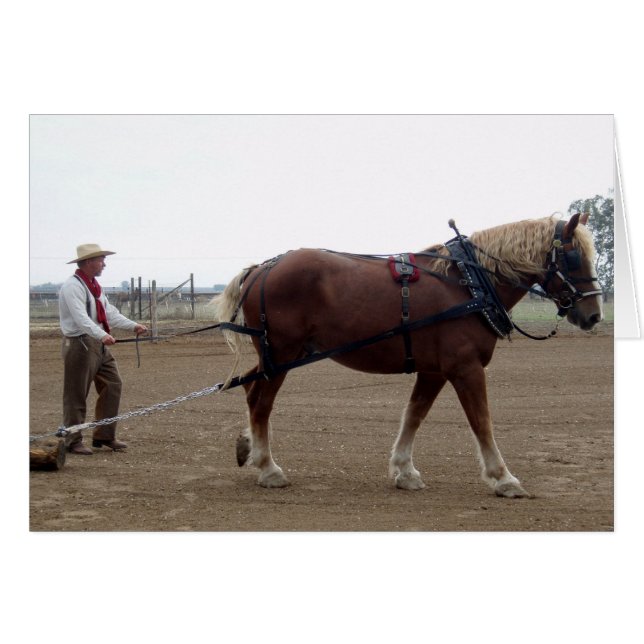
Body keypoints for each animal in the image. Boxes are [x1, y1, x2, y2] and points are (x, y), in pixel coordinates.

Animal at [216, 213, 603, 496]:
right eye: (573, 256)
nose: (594, 315)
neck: (469, 283)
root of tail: (262, 268)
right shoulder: (465, 368)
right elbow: (482, 421)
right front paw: (503, 478)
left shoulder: (434, 371)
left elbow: (414, 415)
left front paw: (404, 471)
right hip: (282, 354)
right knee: (261, 402)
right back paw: (269, 468)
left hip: (276, 354)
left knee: (249, 388)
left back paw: (248, 448)